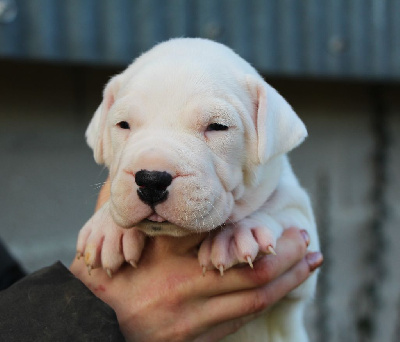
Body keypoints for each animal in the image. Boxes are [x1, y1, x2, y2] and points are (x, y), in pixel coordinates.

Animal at [76, 38, 320, 342]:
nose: (151, 179)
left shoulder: (305, 265)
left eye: (218, 127)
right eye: (123, 125)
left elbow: (283, 207)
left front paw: (238, 233)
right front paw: (107, 230)